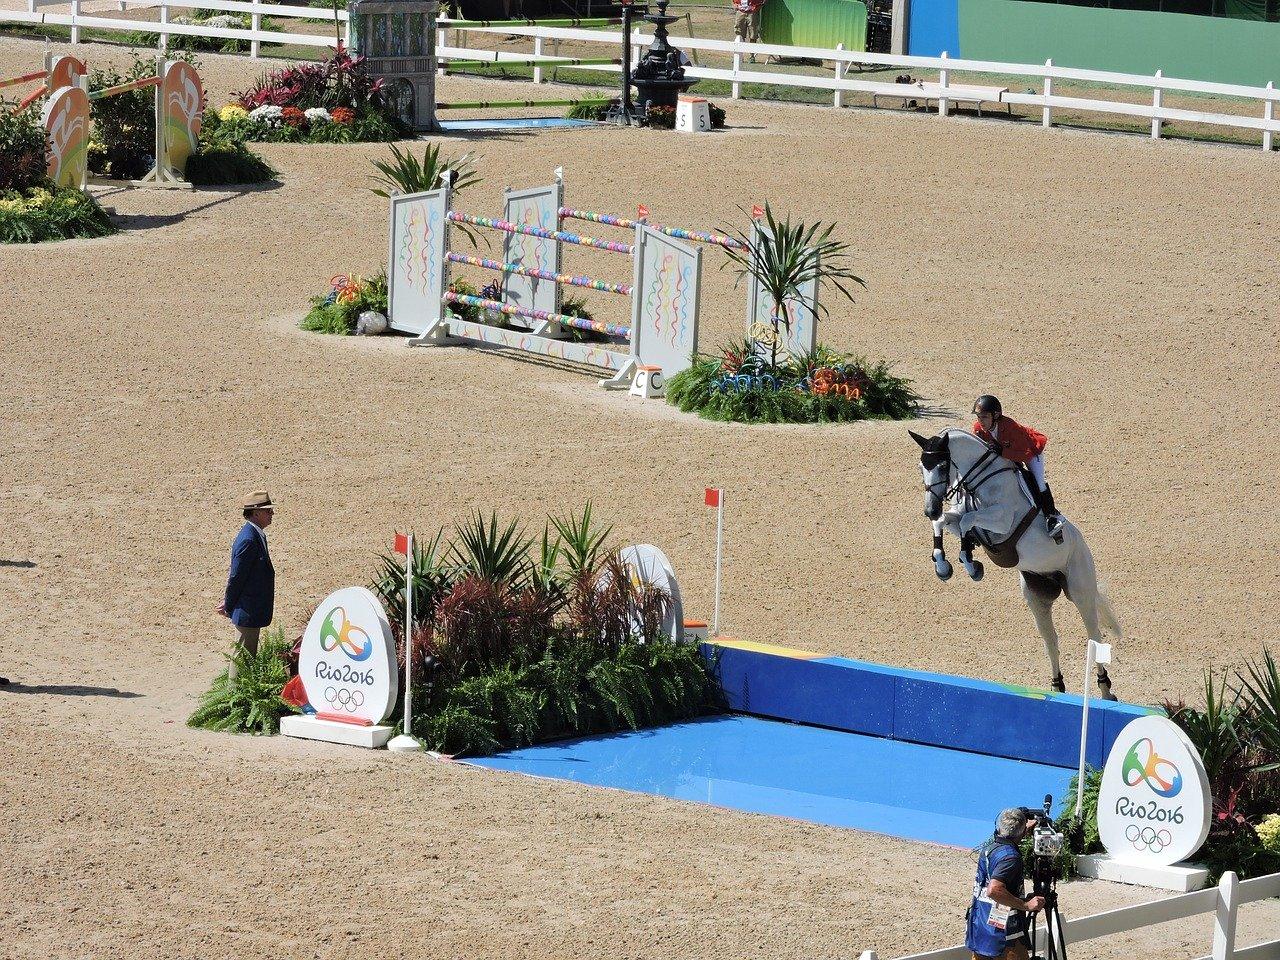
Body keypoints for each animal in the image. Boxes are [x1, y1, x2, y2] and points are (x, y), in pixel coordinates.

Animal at [911, 427, 1121, 701]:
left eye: (943, 465)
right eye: (921, 467)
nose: (930, 509)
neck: (980, 482)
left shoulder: (1002, 521)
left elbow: (968, 520)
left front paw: (970, 564)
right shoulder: (960, 519)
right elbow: (949, 522)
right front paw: (943, 566)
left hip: (1080, 589)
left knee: (1094, 636)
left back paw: (1106, 691)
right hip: (1037, 595)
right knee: (1051, 640)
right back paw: (1057, 687)